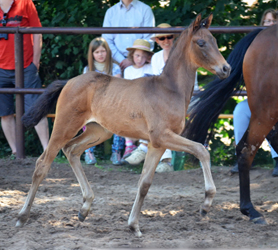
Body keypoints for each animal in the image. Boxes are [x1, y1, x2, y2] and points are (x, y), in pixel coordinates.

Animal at [16, 13, 230, 236]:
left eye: (215, 41)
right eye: (201, 43)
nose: (226, 68)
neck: (169, 90)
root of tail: (68, 82)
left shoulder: (157, 144)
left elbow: (145, 183)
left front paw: (133, 225)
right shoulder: (162, 136)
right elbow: (201, 150)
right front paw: (206, 204)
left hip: (98, 131)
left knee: (71, 150)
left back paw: (85, 208)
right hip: (64, 125)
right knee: (43, 163)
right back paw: (22, 217)